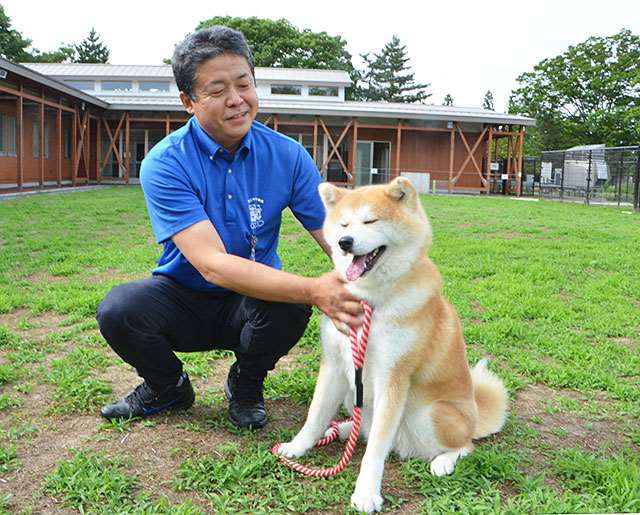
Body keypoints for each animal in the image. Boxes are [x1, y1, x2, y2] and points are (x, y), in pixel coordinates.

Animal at [278, 176, 508, 512]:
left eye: (370, 221)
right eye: (344, 224)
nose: (344, 242)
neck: (371, 299)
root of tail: (475, 417)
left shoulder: (393, 377)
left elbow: (376, 449)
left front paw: (366, 493)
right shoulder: (334, 365)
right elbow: (314, 415)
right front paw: (297, 446)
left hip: (431, 416)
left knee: (464, 446)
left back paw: (443, 461)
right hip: (353, 393)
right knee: (360, 426)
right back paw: (342, 428)